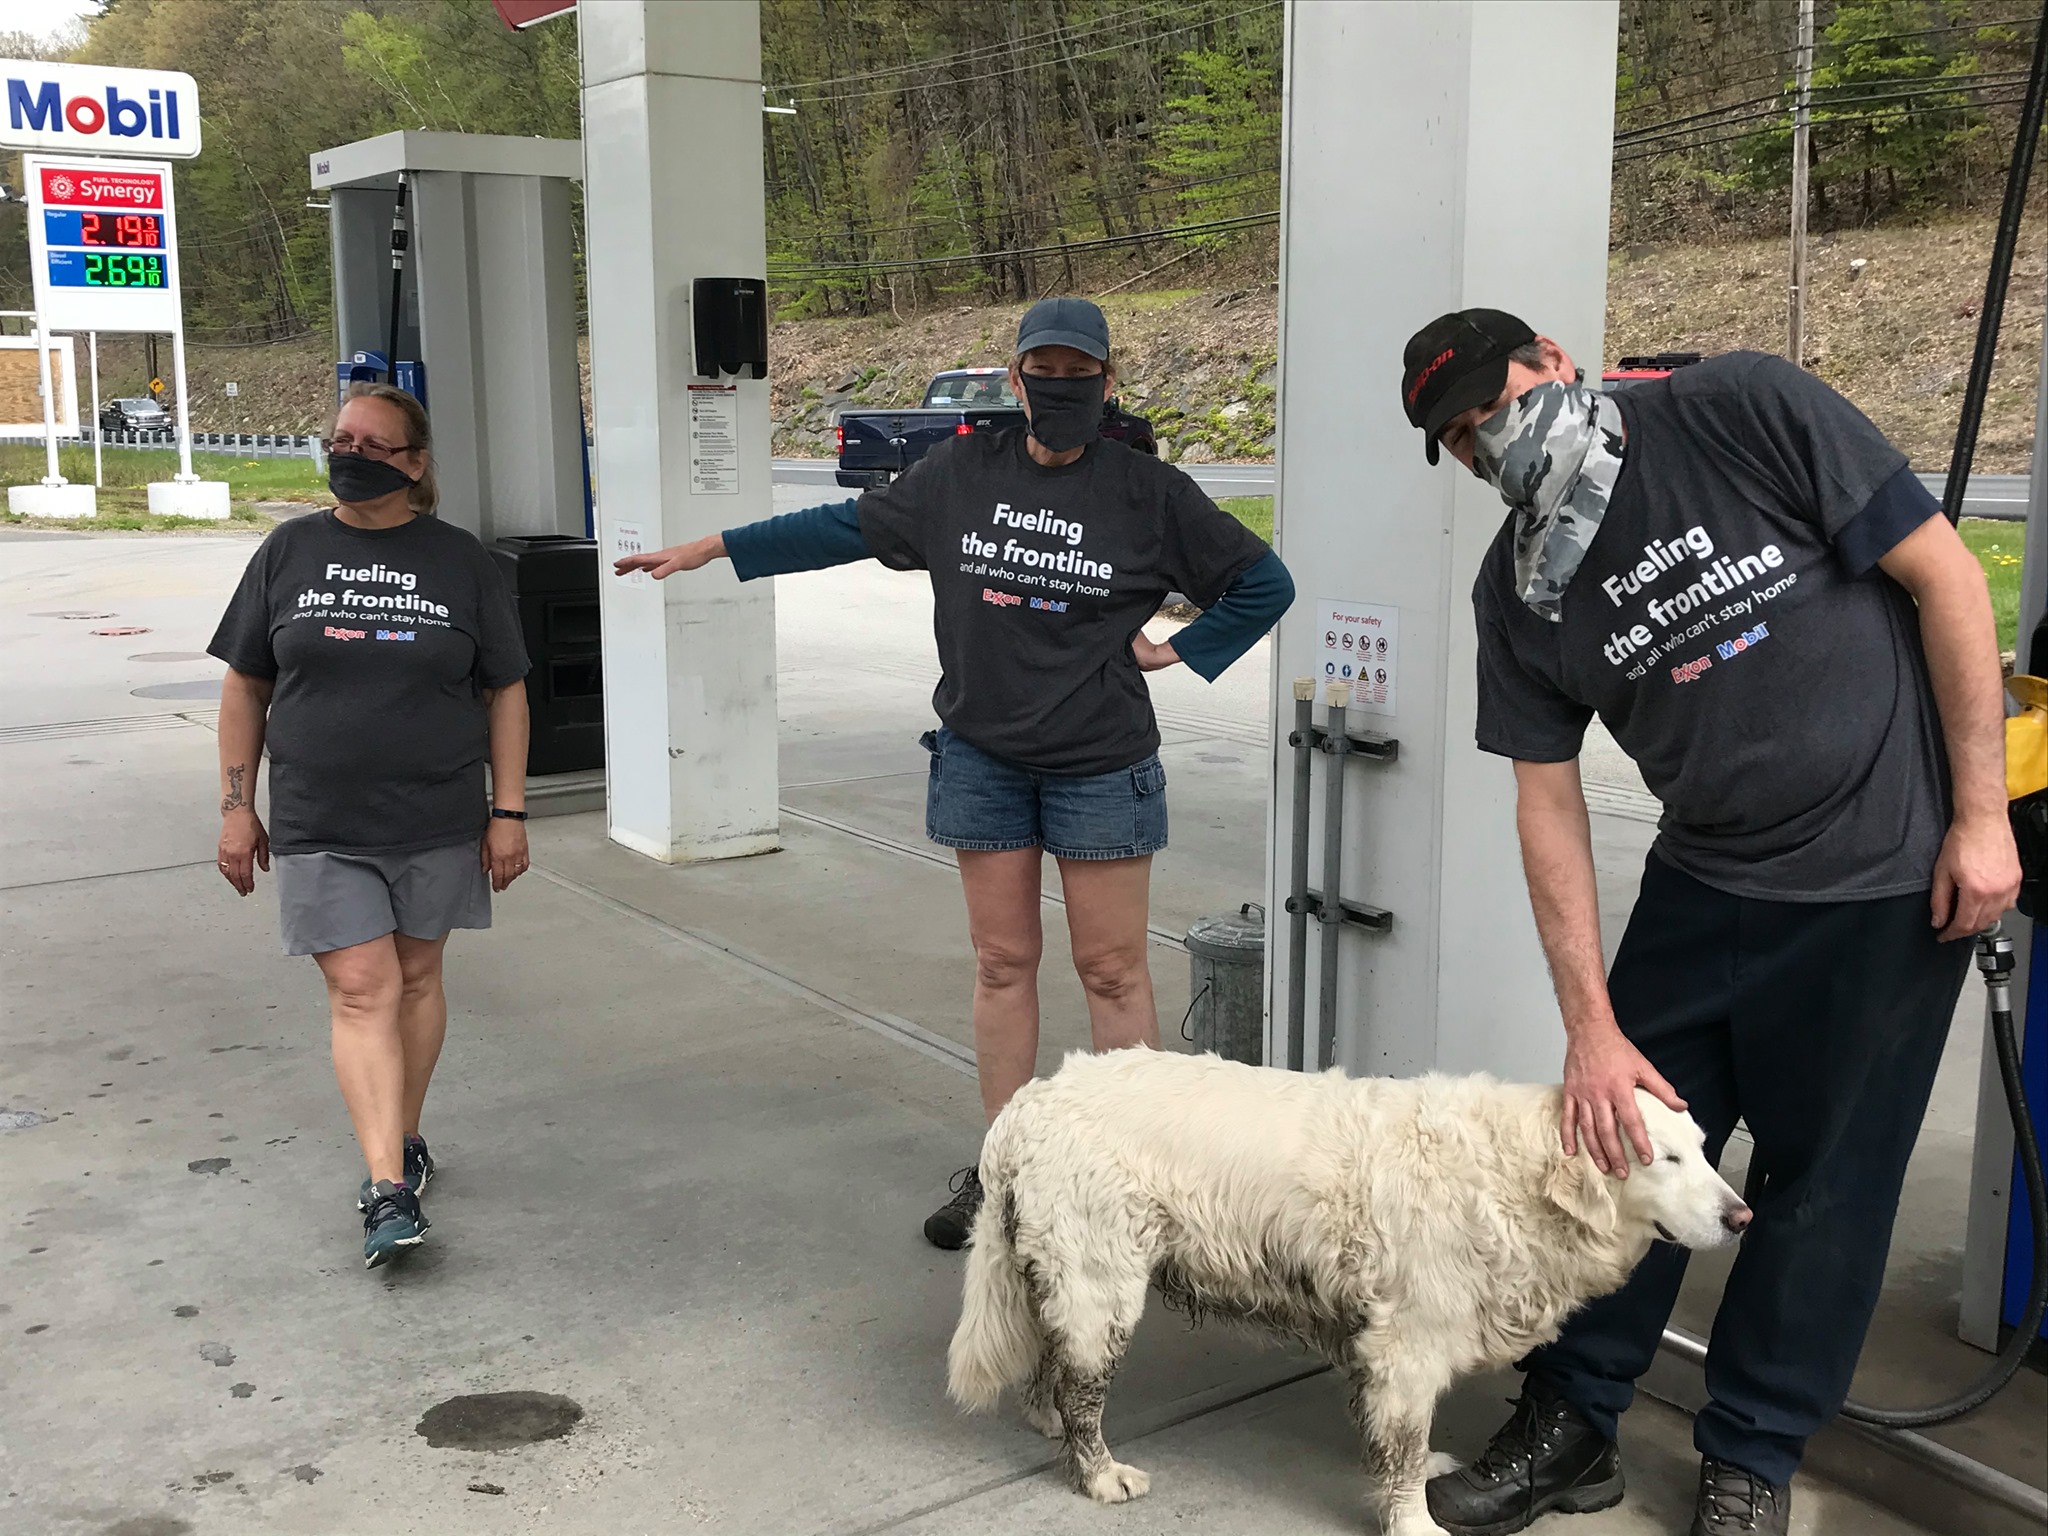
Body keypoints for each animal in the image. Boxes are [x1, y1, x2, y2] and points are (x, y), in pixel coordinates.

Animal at [946, 1048, 1749, 1536]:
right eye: (1666, 1159)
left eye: (1705, 1150)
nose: (1741, 1216)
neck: (1512, 1175)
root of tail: (1027, 1104)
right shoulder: (1408, 1347)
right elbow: (1403, 1451)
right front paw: (1414, 1520)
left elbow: (1400, 1442)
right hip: (1101, 1279)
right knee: (1082, 1384)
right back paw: (1097, 1471)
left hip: (1071, 1273)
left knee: (1052, 1353)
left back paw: (1046, 1421)